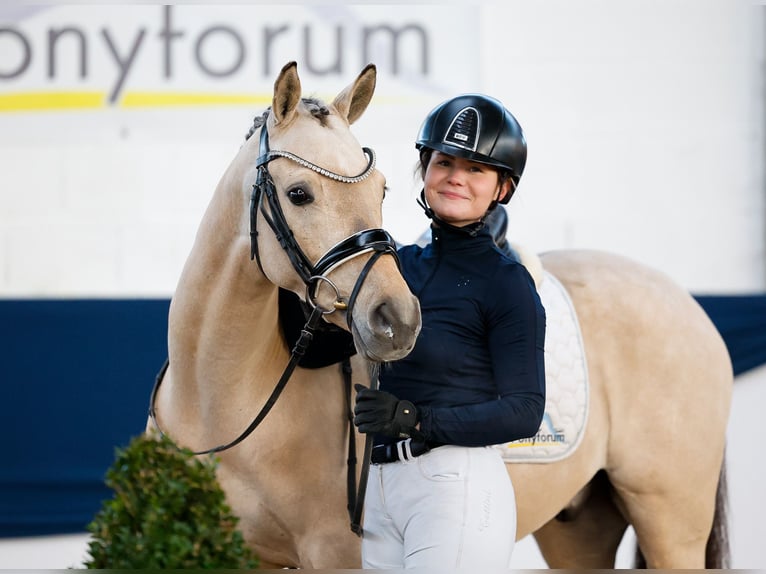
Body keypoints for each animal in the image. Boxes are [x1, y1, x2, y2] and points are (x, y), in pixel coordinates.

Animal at [148, 64, 732, 572]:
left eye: (381, 189)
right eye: (298, 193)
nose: (398, 321)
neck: (222, 404)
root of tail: (685, 303)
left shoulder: (335, 553)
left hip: (670, 522)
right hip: (580, 527)